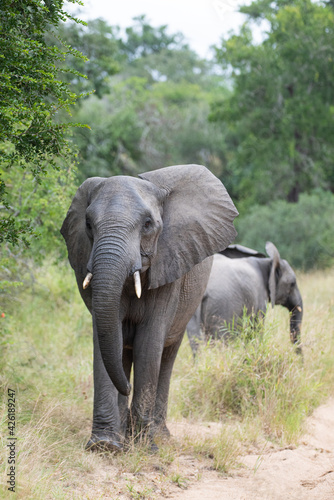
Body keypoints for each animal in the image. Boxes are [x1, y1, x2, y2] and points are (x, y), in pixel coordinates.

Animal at [60, 165, 237, 454]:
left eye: (147, 224)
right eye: (88, 224)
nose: (128, 386)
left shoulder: (170, 264)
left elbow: (149, 343)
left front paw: (144, 448)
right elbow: (104, 339)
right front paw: (105, 445)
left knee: (166, 358)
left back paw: (159, 436)